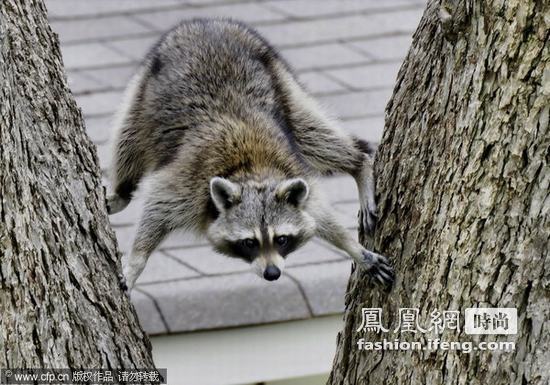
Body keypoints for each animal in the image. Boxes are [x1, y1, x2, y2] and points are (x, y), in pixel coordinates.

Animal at [106, 17, 392, 288]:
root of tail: (208, 23)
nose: (272, 274)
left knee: (313, 135)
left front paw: (353, 248)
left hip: (280, 83)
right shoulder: (186, 183)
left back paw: (358, 162)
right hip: (143, 94)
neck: (252, 171)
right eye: (250, 242)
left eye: (282, 239)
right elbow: (156, 209)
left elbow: (320, 216)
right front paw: (136, 262)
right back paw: (122, 191)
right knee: (127, 142)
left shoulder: (293, 173)